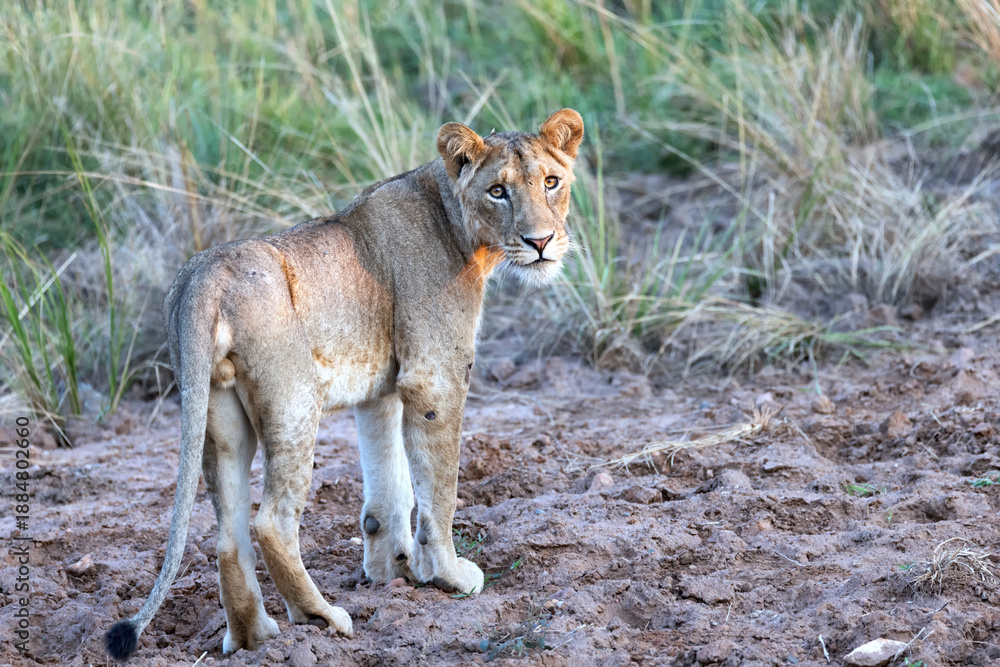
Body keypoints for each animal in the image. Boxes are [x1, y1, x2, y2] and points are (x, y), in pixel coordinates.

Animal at [104, 109, 584, 659]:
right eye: (498, 191)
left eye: (551, 182)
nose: (540, 242)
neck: (458, 225)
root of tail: (203, 274)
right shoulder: (435, 375)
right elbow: (439, 489)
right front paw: (448, 576)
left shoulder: (382, 391)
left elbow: (389, 486)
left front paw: (392, 569)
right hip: (293, 403)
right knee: (272, 522)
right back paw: (323, 618)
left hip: (217, 414)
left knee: (229, 533)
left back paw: (254, 637)